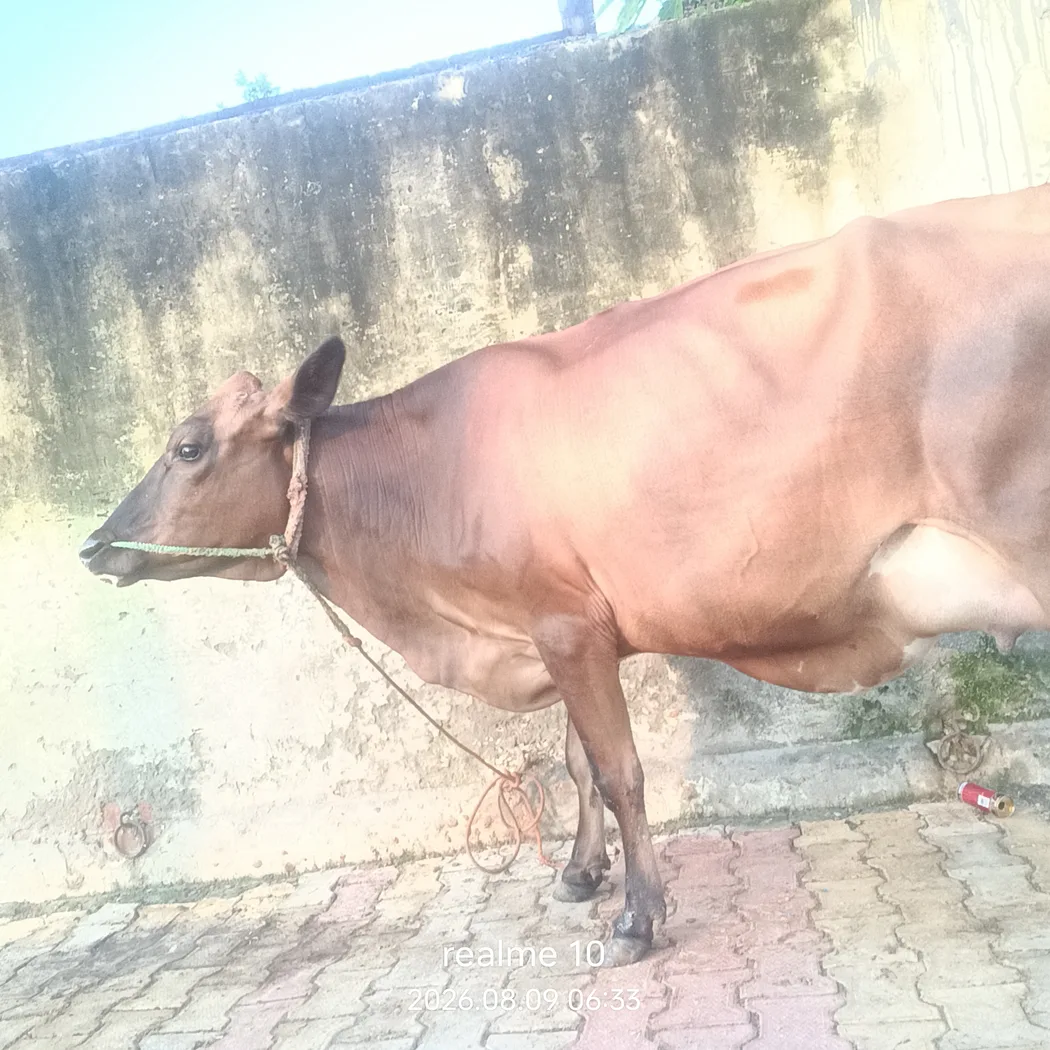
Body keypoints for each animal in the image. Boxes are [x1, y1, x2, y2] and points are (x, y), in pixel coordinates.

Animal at [81, 185, 1050, 965]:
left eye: (188, 447)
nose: (94, 546)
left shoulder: (564, 625)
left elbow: (620, 772)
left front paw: (638, 919)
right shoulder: (567, 631)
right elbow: (581, 762)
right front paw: (582, 876)